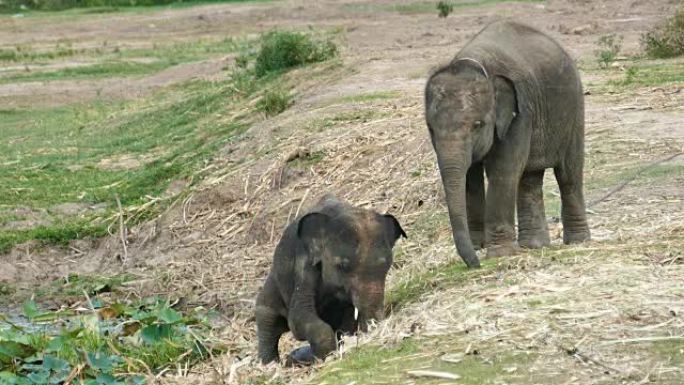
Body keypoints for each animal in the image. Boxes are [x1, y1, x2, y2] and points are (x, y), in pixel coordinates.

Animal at [256, 194, 406, 364]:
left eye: (387, 265)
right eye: (342, 266)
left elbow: (347, 320)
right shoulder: (304, 266)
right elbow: (297, 319)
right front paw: (327, 354)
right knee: (267, 321)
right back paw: (270, 364)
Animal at [424, 21, 592, 268]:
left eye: (477, 125)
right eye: (431, 129)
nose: (476, 264)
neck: (476, 63)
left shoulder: (520, 113)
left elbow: (503, 170)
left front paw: (500, 254)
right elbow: (470, 177)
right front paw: (479, 246)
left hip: (574, 109)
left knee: (568, 174)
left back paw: (578, 241)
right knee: (530, 178)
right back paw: (534, 245)